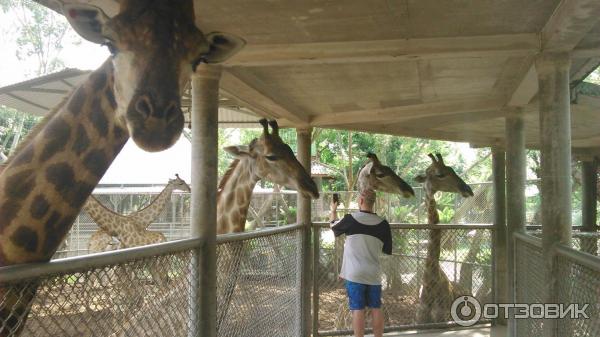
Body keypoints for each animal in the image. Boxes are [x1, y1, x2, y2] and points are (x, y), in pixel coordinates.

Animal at [412, 154, 474, 322]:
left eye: (452, 169)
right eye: (440, 174)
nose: (468, 189)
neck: (429, 283)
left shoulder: (443, 319)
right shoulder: (420, 320)